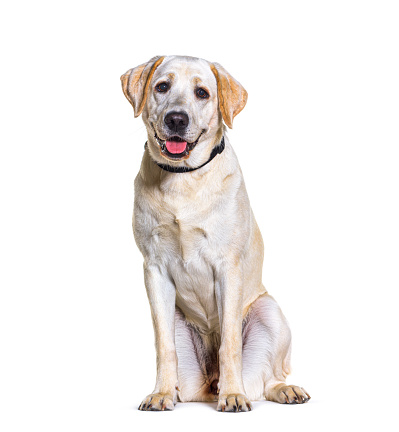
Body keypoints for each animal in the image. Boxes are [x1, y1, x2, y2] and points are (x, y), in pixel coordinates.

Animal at [120, 54, 310, 412]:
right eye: (161, 86)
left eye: (202, 93)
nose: (176, 119)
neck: (182, 179)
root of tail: (210, 383)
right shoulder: (154, 269)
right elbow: (163, 345)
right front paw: (161, 394)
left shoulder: (228, 268)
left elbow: (230, 343)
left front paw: (233, 395)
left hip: (268, 310)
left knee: (267, 379)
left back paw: (281, 390)